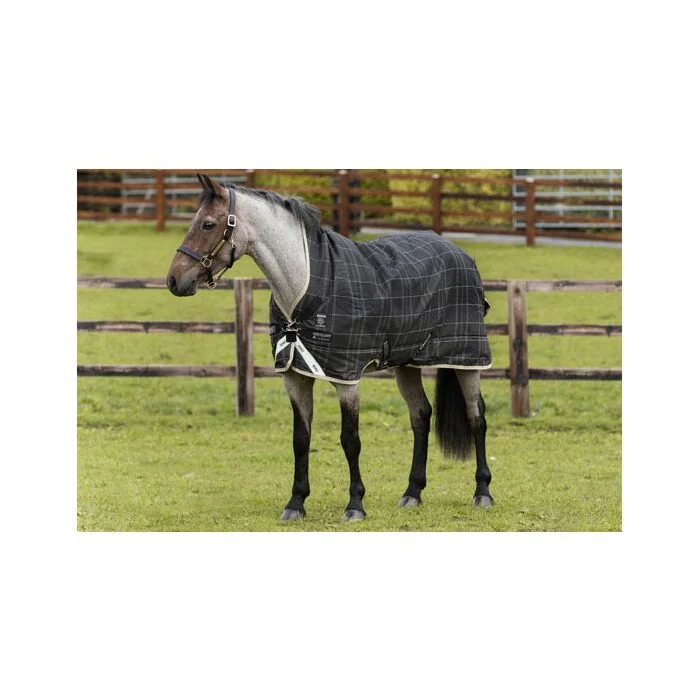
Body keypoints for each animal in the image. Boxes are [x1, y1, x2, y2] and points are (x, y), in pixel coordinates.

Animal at [167, 174, 494, 522]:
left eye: (208, 224)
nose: (174, 280)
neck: (306, 286)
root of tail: (459, 252)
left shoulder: (346, 377)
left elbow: (350, 440)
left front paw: (355, 505)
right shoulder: (295, 376)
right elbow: (301, 438)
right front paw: (295, 503)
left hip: (467, 359)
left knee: (476, 416)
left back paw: (482, 492)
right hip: (406, 364)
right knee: (421, 416)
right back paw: (412, 493)